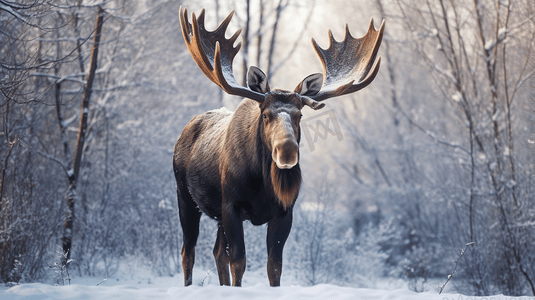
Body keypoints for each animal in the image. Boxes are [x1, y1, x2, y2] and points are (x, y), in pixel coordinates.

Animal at [174, 7, 384, 288]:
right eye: (265, 115)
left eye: (300, 115)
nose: (287, 152)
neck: (264, 185)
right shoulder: (232, 206)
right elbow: (238, 262)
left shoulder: (284, 212)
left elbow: (274, 266)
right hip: (185, 196)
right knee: (188, 250)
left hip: (215, 214)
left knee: (217, 252)